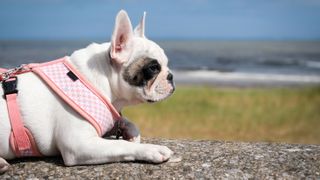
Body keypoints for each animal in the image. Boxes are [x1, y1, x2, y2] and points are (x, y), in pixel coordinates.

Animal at [0, 9, 175, 172]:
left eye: (166, 64)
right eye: (153, 68)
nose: (171, 76)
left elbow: (129, 124)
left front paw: (130, 132)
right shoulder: (78, 144)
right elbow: (121, 145)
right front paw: (151, 149)